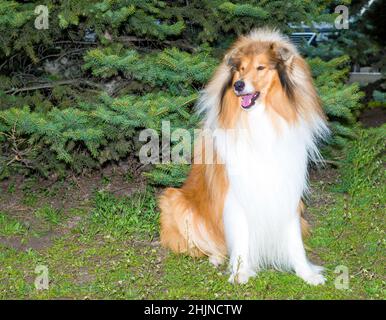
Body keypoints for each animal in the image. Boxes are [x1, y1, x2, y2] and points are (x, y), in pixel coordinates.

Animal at [159, 28, 328, 284]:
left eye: (260, 67)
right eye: (240, 68)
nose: (238, 85)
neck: (261, 119)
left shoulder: (287, 188)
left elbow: (294, 241)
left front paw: (306, 273)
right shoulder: (236, 193)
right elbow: (240, 236)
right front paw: (240, 272)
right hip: (175, 201)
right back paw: (215, 256)